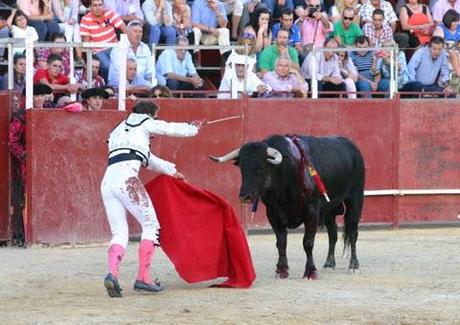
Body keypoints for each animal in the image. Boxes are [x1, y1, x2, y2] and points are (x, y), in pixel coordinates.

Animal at [210, 134, 364, 278]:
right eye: (242, 168)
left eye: (261, 167)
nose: (245, 196)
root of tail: (351, 146)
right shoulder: (273, 214)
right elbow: (281, 242)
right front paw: (281, 270)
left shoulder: (311, 212)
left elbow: (308, 242)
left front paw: (310, 271)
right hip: (329, 209)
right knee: (333, 234)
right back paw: (329, 264)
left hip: (355, 200)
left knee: (353, 232)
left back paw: (353, 265)